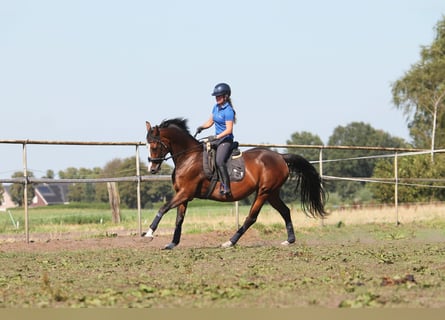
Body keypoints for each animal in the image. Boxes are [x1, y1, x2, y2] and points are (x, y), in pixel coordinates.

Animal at [142, 118, 326, 250]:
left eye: (155, 145)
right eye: (147, 145)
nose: (152, 169)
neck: (188, 157)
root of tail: (280, 157)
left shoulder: (185, 193)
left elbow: (163, 208)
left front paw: (149, 233)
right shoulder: (184, 195)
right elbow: (179, 219)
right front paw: (172, 243)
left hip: (264, 192)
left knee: (251, 217)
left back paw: (230, 242)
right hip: (272, 193)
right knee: (285, 211)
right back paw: (290, 240)